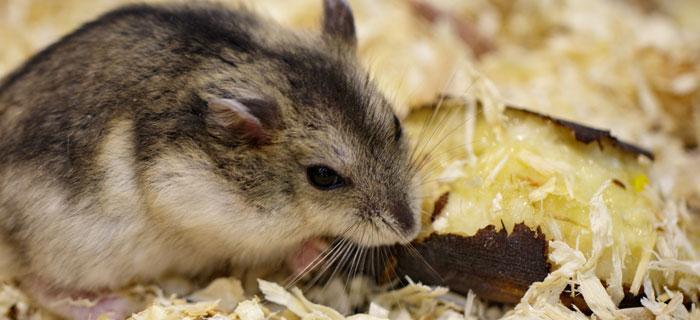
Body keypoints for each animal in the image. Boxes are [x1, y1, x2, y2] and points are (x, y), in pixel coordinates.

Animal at [0, 0, 422, 318]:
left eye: (396, 124)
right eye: (322, 176)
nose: (409, 229)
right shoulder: (206, 214)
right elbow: (277, 246)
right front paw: (315, 251)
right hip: (71, 251)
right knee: (36, 284)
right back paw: (114, 305)